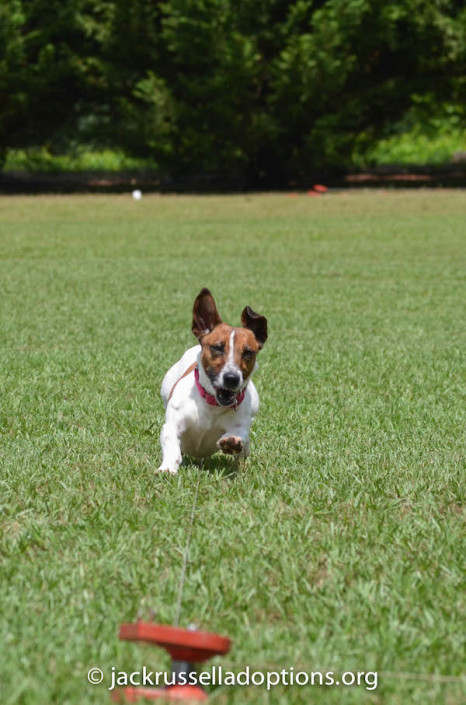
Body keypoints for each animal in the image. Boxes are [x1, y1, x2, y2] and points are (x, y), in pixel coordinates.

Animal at [157, 286, 266, 472]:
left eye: (247, 352)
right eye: (217, 347)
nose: (232, 378)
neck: (212, 405)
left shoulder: (241, 425)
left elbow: (240, 436)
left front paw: (232, 443)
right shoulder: (173, 423)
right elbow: (171, 441)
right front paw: (168, 467)